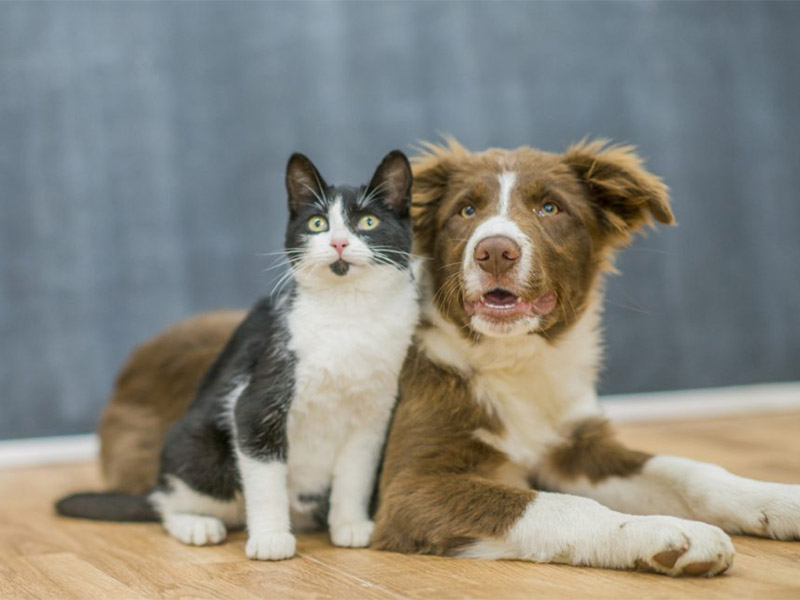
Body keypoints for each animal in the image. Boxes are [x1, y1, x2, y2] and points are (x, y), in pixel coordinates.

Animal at [56, 150, 418, 564]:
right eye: (318, 223)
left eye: (368, 222)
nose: (339, 243)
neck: (348, 314)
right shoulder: (257, 401)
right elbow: (265, 479)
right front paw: (271, 539)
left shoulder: (373, 416)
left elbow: (355, 475)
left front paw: (351, 525)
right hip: (199, 450)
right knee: (168, 503)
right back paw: (197, 525)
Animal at [95, 138, 800, 576]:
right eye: (466, 211)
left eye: (551, 208)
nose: (495, 251)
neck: (509, 364)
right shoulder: (413, 486)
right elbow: (555, 506)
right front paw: (659, 535)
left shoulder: (575, 445)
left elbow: (688, 469)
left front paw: (777, 501)